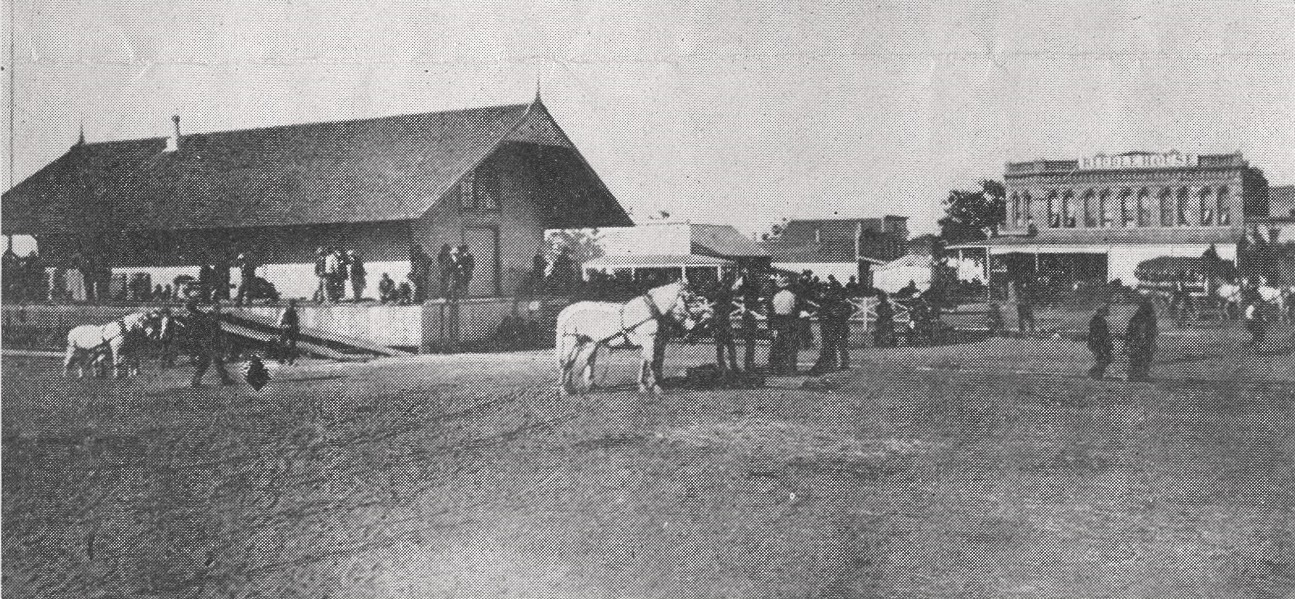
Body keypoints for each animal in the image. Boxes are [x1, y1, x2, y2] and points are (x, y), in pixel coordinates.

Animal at [551, 283, 704, 395]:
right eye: (690, 298)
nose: (695, 322)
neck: (652, 309)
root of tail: (568, 314)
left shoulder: (655, 342)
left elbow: (650, 362)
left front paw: (646, 386)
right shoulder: (649, 341)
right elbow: (652, 361)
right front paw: (656, 387)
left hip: (586, 343)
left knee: (575, 362)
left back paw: (573, 388)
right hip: (572, 342)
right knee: (566, 362)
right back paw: (564, 390)